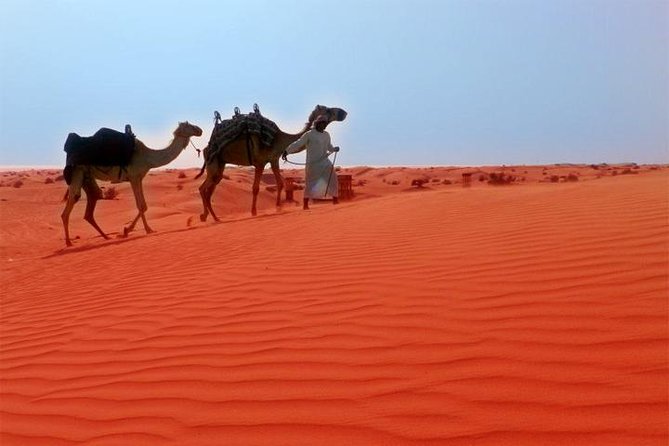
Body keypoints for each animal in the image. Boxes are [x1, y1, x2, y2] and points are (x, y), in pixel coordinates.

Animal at [61, 121, 203, 247]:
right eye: (189, 125)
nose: (200, 130)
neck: (148, 157)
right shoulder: (134, 177)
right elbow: (140, 205)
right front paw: (131, 231)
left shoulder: (139, 178)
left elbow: (144, 205)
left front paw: (142, 229)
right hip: (77, 172)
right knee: (72, 201)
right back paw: (68, 242)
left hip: (87, 176)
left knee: (92, 200)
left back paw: (106, 237)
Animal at [195, 105, 347, 221]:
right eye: (329, 110)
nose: (344, 112)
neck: (279, 139)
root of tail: (206, 148)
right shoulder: (260, 162)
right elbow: (255, 188)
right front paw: (254, 211)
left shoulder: (274, 160)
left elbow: (280, 183)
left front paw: (278, 207)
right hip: (213, 162)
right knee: (203, 188)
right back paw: (208, 216)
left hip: (220, 164)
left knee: (210, 189)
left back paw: (212, 217)